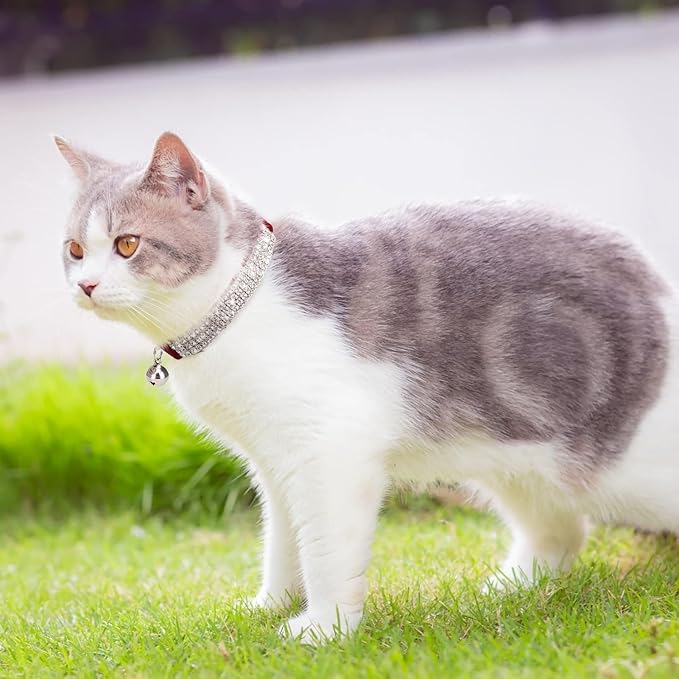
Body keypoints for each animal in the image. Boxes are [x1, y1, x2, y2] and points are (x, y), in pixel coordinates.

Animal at [57, 131, 679, 644]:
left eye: (128, 244)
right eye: (75, 250)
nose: (85, 285)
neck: (236, 311)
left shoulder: (328, 451)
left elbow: (326, 549)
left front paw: (324, 628)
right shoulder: (275, 463)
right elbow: (284, 541)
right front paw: (272, 605)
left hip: (618, 470)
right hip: (519, 460)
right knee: (561, 530)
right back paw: (512, 588)